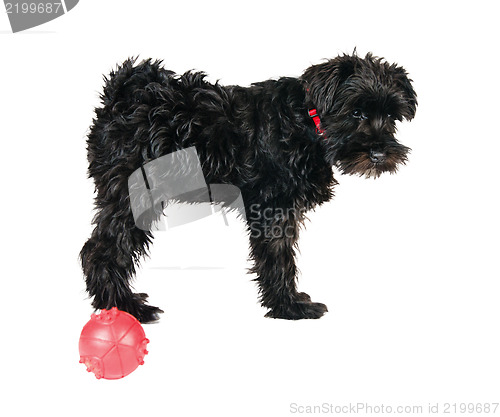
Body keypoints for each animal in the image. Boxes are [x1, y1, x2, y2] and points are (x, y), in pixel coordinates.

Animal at [81, 52, 418, 322]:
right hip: (134, 197)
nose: (379, 154)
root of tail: (123, 92)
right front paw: (289, 307)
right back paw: (125, 308)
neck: (307, 122)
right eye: (356, 113)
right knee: (100, 251)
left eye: (391, 116)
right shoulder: (274, 212)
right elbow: (279, 260)